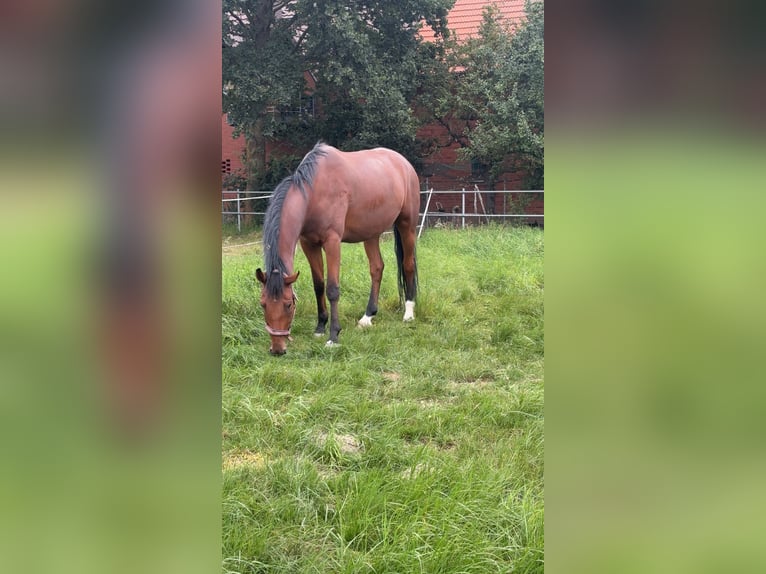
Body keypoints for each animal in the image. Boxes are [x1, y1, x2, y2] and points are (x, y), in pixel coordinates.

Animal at [256, 142, 420, 355]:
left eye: (288, 304)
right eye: (263, 304)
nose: (277, 349)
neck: (314, 192)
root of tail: (404, 164)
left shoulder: (332, 242)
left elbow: (332, 289)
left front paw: (333, 336)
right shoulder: (309, 244)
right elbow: (318, 285)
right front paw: (320, 327)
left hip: (407, 225)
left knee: (408, 265)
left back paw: (409, 313)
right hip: (371, 233)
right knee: (377, 268)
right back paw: (368, 316)